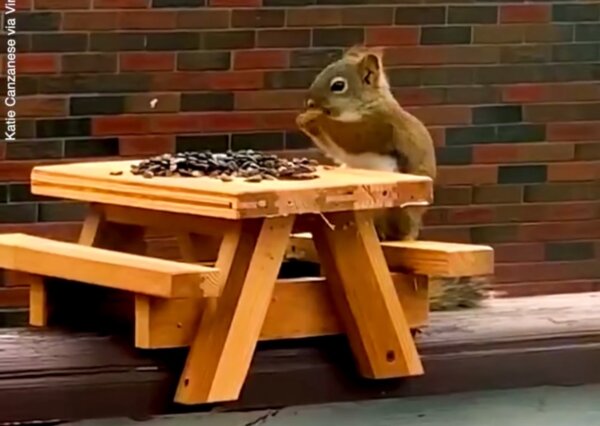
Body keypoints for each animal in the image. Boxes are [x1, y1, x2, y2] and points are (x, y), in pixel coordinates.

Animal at [296, 46, 488, 312]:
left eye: (338, 86)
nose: (310, 102)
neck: (366, 106)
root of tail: (411, 231)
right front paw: (306, 118)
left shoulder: (378, 129)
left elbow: (351, 138)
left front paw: (312, 118)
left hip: (391, 210)